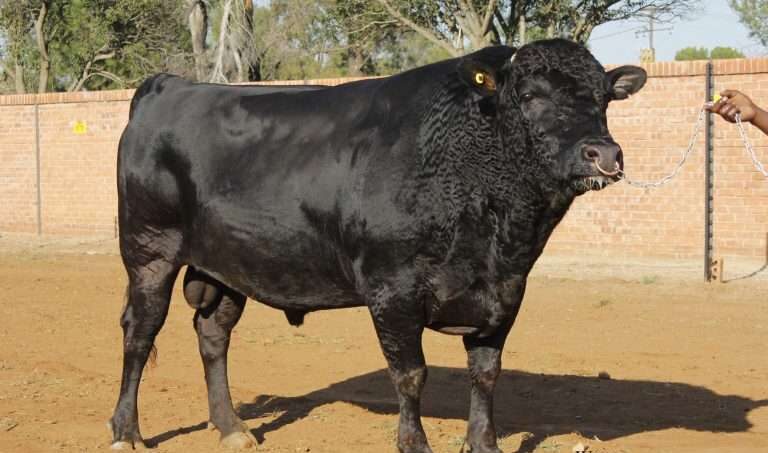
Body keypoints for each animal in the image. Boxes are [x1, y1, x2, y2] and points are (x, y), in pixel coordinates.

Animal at [109, 39, 646, 452]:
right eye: (530, 94)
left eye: (604, 98)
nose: (603, 154)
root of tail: (169, 86)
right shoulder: (394, 289)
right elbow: (410, 374)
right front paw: (414, 443)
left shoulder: (506, 292)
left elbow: (486, 373)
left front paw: (484, 443)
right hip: (149, 251)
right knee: (140, 333)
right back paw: (127, 432)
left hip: (225, 265)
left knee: (213, 334)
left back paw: (231, 428)